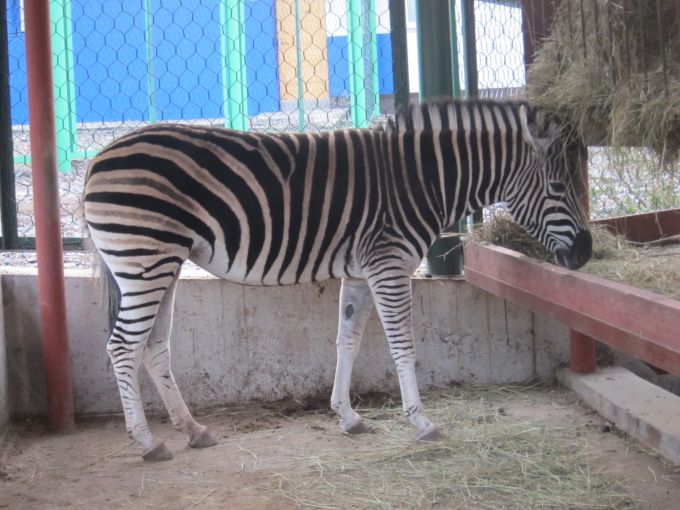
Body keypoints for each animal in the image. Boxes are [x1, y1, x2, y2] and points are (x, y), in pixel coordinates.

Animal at [83, 99, 592, 461]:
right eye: (559, 188)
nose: (586, 253)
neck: (423, 180)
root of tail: (99, 157)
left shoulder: (362, 271)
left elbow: (347, 340)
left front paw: (347, 417)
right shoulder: (389, 264)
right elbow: (403, 346)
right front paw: (422, 422)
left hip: (162, 264)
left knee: (153, 347)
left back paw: (192, 429)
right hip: (144, 261)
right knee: (122, 347)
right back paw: (147, 442)